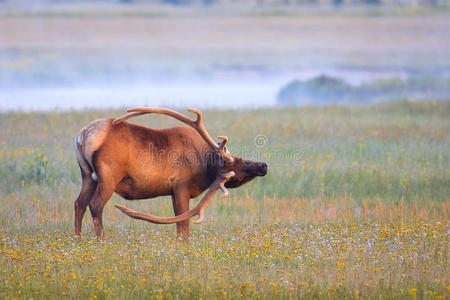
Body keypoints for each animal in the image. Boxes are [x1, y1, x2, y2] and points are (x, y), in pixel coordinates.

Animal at [74, 106, 268, 238]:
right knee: (95, 205)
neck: (204, 165)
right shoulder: (181, 186)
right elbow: (184, 222)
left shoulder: (173, 191)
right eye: (240, 163)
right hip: (109, 176)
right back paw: (101, 240)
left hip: (87, 176)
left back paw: (78, 239)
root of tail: (83, 135)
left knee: (79, 204)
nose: (264, 166)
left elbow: (179, 222)